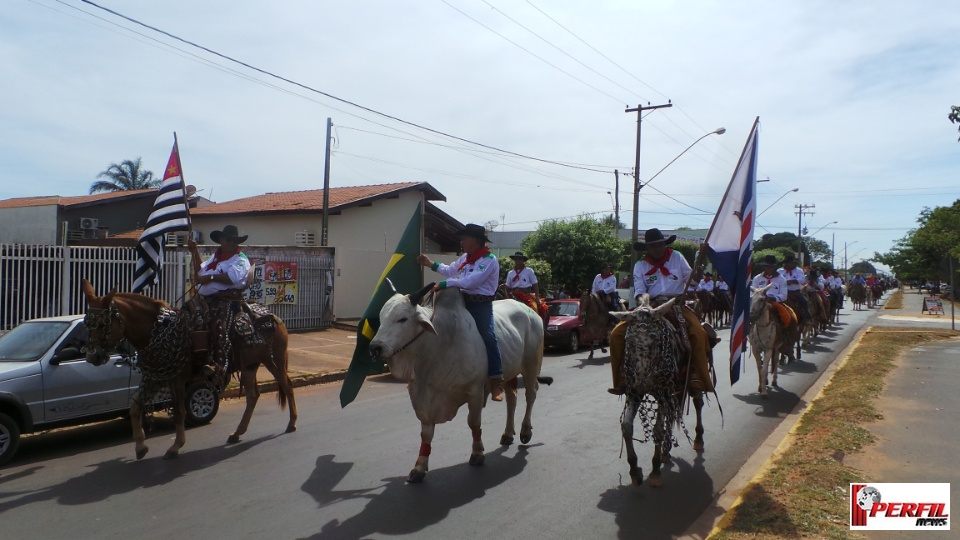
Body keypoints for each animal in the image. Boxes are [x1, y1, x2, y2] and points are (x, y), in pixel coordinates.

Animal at [82, 278, 296, 460]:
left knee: (287, 386)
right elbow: (135, 407)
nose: (93, 356)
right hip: (249, 366)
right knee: (252, 396)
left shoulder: (178, 378)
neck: (156, 332)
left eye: (102, 324)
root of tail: (275, 317)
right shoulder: (153, 377)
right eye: (87, 324)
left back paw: (292, 423)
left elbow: (179, 411)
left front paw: (175, 446)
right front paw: (141, 447)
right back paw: (237, 433)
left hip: (274, 361)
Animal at [608, 296, 704, 490]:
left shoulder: (662, 392)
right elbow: (627, 426)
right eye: (628, 340)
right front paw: (634, 470)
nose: (642, 384)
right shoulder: (634, 393)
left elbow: (658, 430)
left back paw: (698, 439)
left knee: (697, 402)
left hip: (691, 379)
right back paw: (665, 451)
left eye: (655, 338)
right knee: (672, 413)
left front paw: (655, 470)